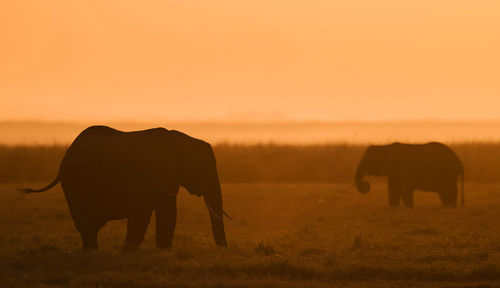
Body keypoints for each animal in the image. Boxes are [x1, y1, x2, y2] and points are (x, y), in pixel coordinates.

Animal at [21, 125, 229, 251]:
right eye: (200, 168)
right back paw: (92, 252)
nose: (223, 250)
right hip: (75, 184)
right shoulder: (146, 176)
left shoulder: (165, 179)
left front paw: (160, 252)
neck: (179, 140)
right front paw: (129, 252)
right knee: (86, 222)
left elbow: (166, 212)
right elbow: (144, 213)